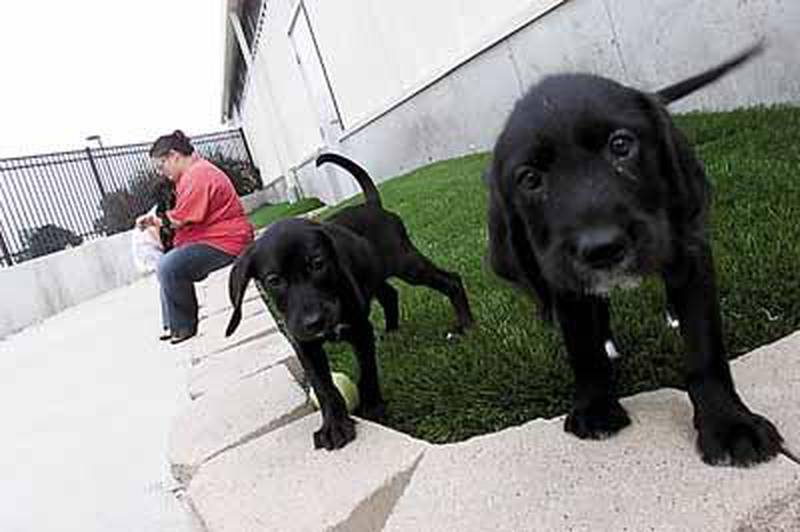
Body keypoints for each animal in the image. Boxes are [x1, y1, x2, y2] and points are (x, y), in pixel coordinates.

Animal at [228, 153, 472, 448]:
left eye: (318, 264)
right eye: (274, 280)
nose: (314, 322)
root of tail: (373, 206)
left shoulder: (359, 329)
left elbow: (367, 370)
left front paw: (372, 406)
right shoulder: (305, 344)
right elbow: (324, 387)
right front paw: (334, 425)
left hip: (406, 263)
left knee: (450, 280)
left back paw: (466, 325)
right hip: (374, 275)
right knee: (390, 294)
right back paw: (392, 332)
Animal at [484, 42, 784, 466]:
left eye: (621, 145)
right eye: (529, 179)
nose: (602, 247)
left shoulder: (688, 250)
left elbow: (704, 347)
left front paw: (729, 423)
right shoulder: (563, 279)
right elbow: (582, 345)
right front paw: (595, 405)